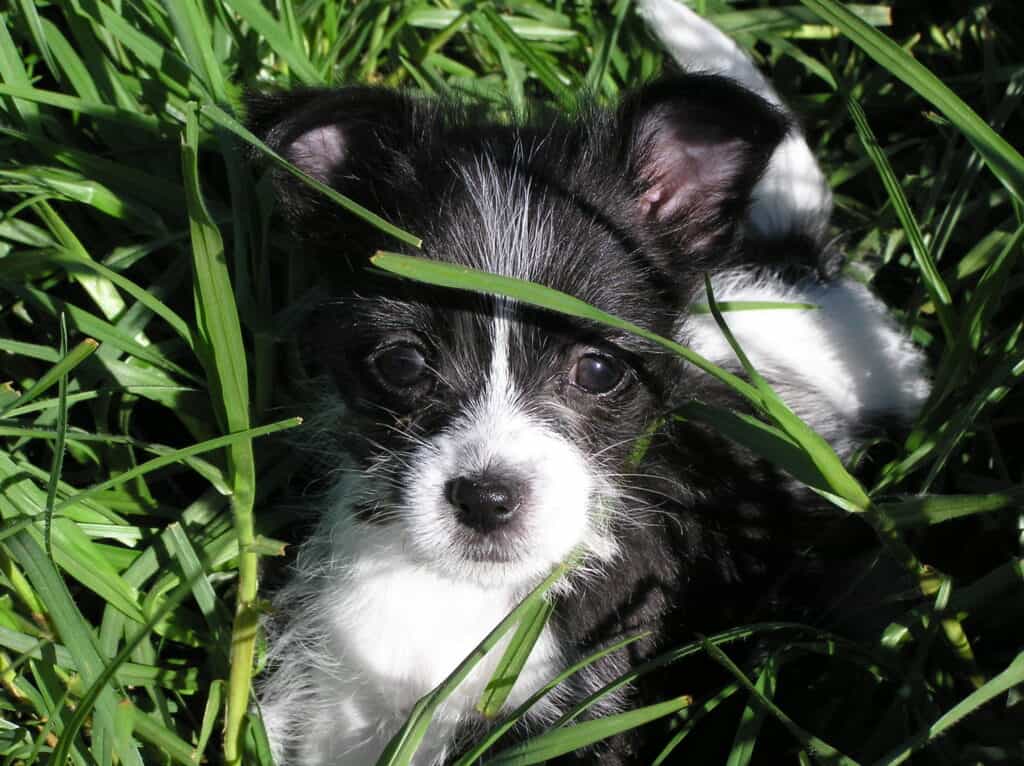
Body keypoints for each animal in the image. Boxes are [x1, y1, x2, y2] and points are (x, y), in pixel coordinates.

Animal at [247, 2, 929, 761]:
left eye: (598, 371)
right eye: (402, 363)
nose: (487, 499)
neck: (461, 595)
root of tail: (797, 266)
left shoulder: (582, 713)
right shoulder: (322, 703)